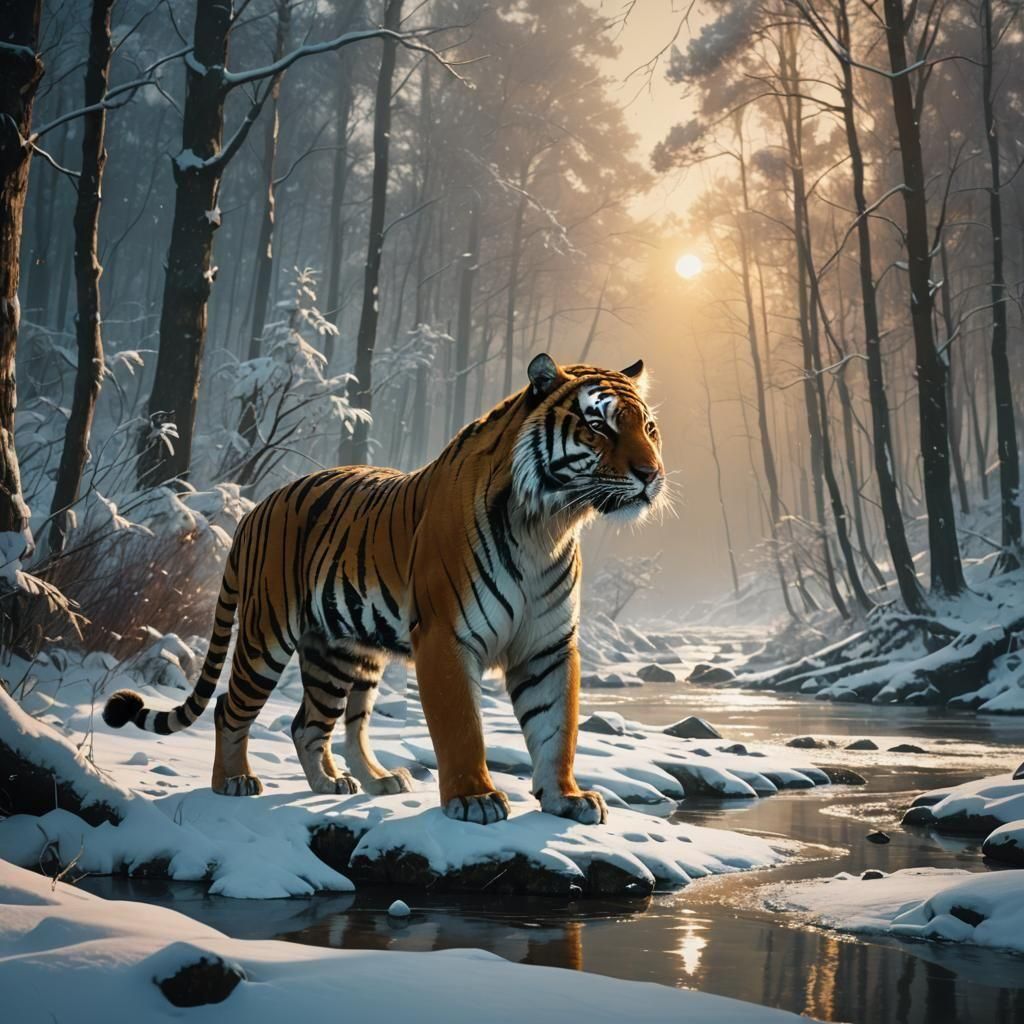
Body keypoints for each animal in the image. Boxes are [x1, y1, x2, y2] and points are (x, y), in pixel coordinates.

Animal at [103, 354, 666, 825]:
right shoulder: (445, 637)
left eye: (649, 428)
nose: (651, 474)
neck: (547, 522)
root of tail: (256, 508)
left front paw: (567, 798)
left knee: (312, 724)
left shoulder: (548, 646)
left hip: (341, 653)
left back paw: (351, 782)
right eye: (599, 425)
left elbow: (556, 728)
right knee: (230, 707)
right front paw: (475, 800)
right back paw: (234, 781)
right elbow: (462, 726)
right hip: (267, 633)